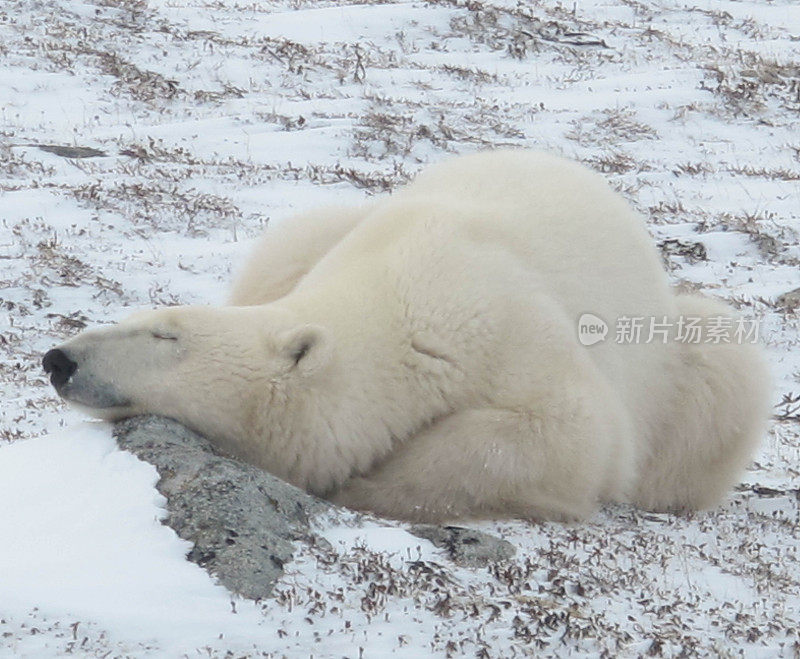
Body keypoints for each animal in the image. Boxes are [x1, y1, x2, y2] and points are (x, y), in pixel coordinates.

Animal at [42, 152, 768, 524]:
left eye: (166, 335)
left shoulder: (515, 330)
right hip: (317, 231)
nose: (58, 358)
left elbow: (568, 434)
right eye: (146, 318)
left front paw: (364, 488)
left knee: (719, 370)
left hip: (674, 359)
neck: (403, 295)